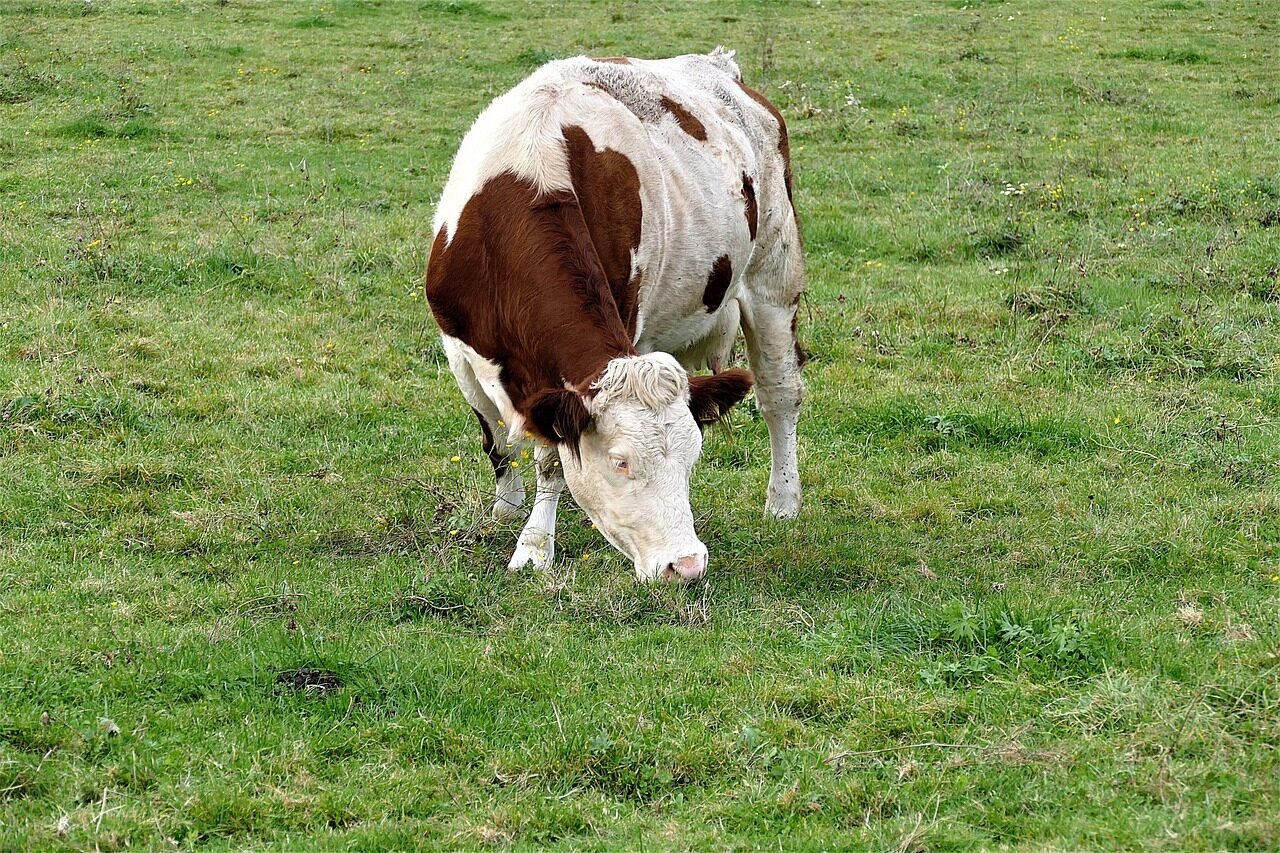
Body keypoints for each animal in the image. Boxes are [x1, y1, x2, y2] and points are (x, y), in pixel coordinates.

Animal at [425, 48, 805, 583]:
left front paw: (534, 548)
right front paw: (506, 507)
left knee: (779, 393)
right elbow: (495, 435)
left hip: (774, 275)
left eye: (692, 458)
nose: (686, 564)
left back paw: (783, 500)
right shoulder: (459, 348)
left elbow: (551, 459)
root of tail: (720, 67)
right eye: (621, 462)